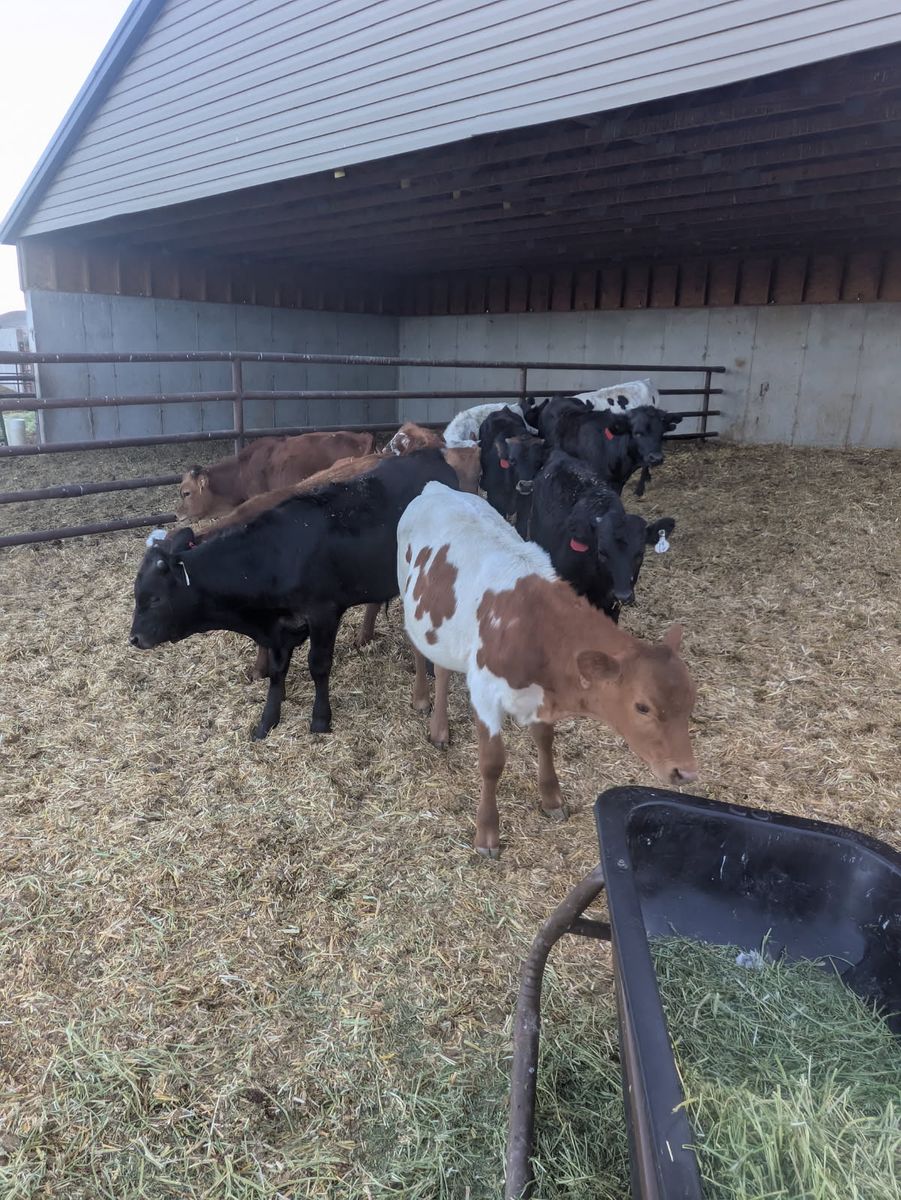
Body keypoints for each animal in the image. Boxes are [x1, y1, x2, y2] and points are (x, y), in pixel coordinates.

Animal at [131, 450, 459, 740]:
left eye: (155, 598)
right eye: (136, 594)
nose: (134, 638)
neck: (275, 554)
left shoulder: (323, 613)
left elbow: (319, 665)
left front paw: (320, 720)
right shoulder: (280, 626)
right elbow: (278, 672)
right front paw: (267, 721)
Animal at [398, 483, 698, 857]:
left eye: (690, 702)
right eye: (642, 707)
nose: (685, 772)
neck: (534, 624)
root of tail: (437, 487)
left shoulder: (542, 693)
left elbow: (545, 739)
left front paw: (552, 797)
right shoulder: (485, 691)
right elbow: (492, 762)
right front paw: (487, 833)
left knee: (442, 665)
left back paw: (439, 727)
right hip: (409, 597)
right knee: (421, 652)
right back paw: (424, 702)